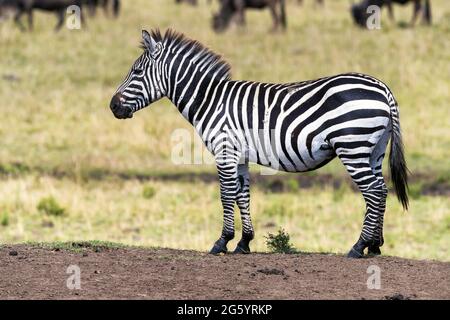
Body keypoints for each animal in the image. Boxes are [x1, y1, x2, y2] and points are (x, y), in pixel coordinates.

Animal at [109, 29, 408, 260]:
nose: (112, 106)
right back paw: (375, 247)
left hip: (352, 147)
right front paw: (244, 242)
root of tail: (383, 88)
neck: (209, 100)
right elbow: (243, 195)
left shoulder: (225, 151)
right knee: (381, 190)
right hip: (373, 150)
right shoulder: (239, 156)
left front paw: (222, 241)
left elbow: (226, 195)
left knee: (373, 192)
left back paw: (359, 247)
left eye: (136, 71)